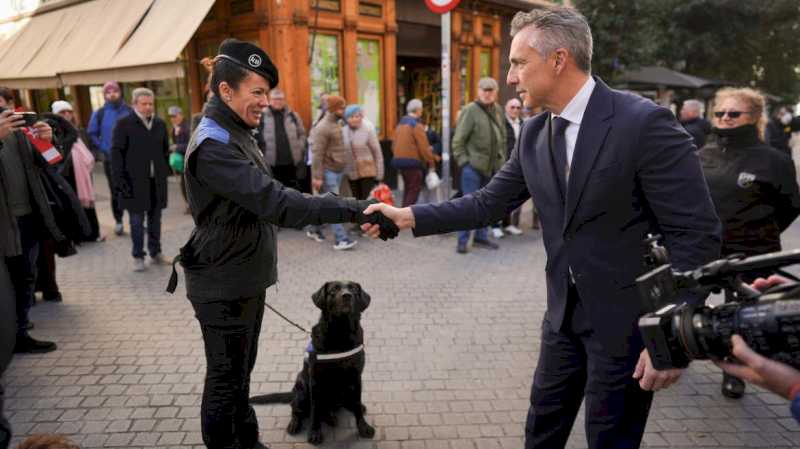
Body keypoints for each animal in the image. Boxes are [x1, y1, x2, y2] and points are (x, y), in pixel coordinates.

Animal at [250, 282, 376, 442]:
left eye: (353, 289)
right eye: (333, 290)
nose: (347, 296)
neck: (340, 333)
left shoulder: (356, 376)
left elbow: (357, 403)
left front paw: (364, 427)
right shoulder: (316, 381)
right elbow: (315, 409)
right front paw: (315, 432)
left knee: (344, 405)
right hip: (302, 388)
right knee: (297, 409)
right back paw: (295, 423)